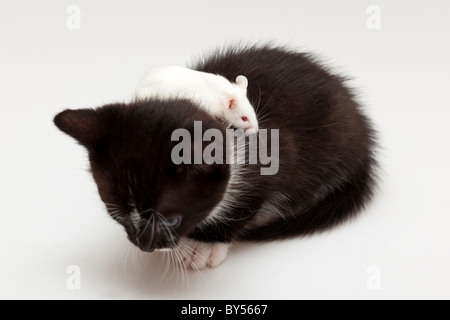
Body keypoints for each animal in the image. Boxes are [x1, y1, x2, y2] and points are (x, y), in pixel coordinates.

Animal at [53, 44, 376, 270]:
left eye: (172, 220)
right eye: (117, 216)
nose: (145, 246)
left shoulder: (278, 153)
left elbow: (248, 202)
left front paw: (203, 245)